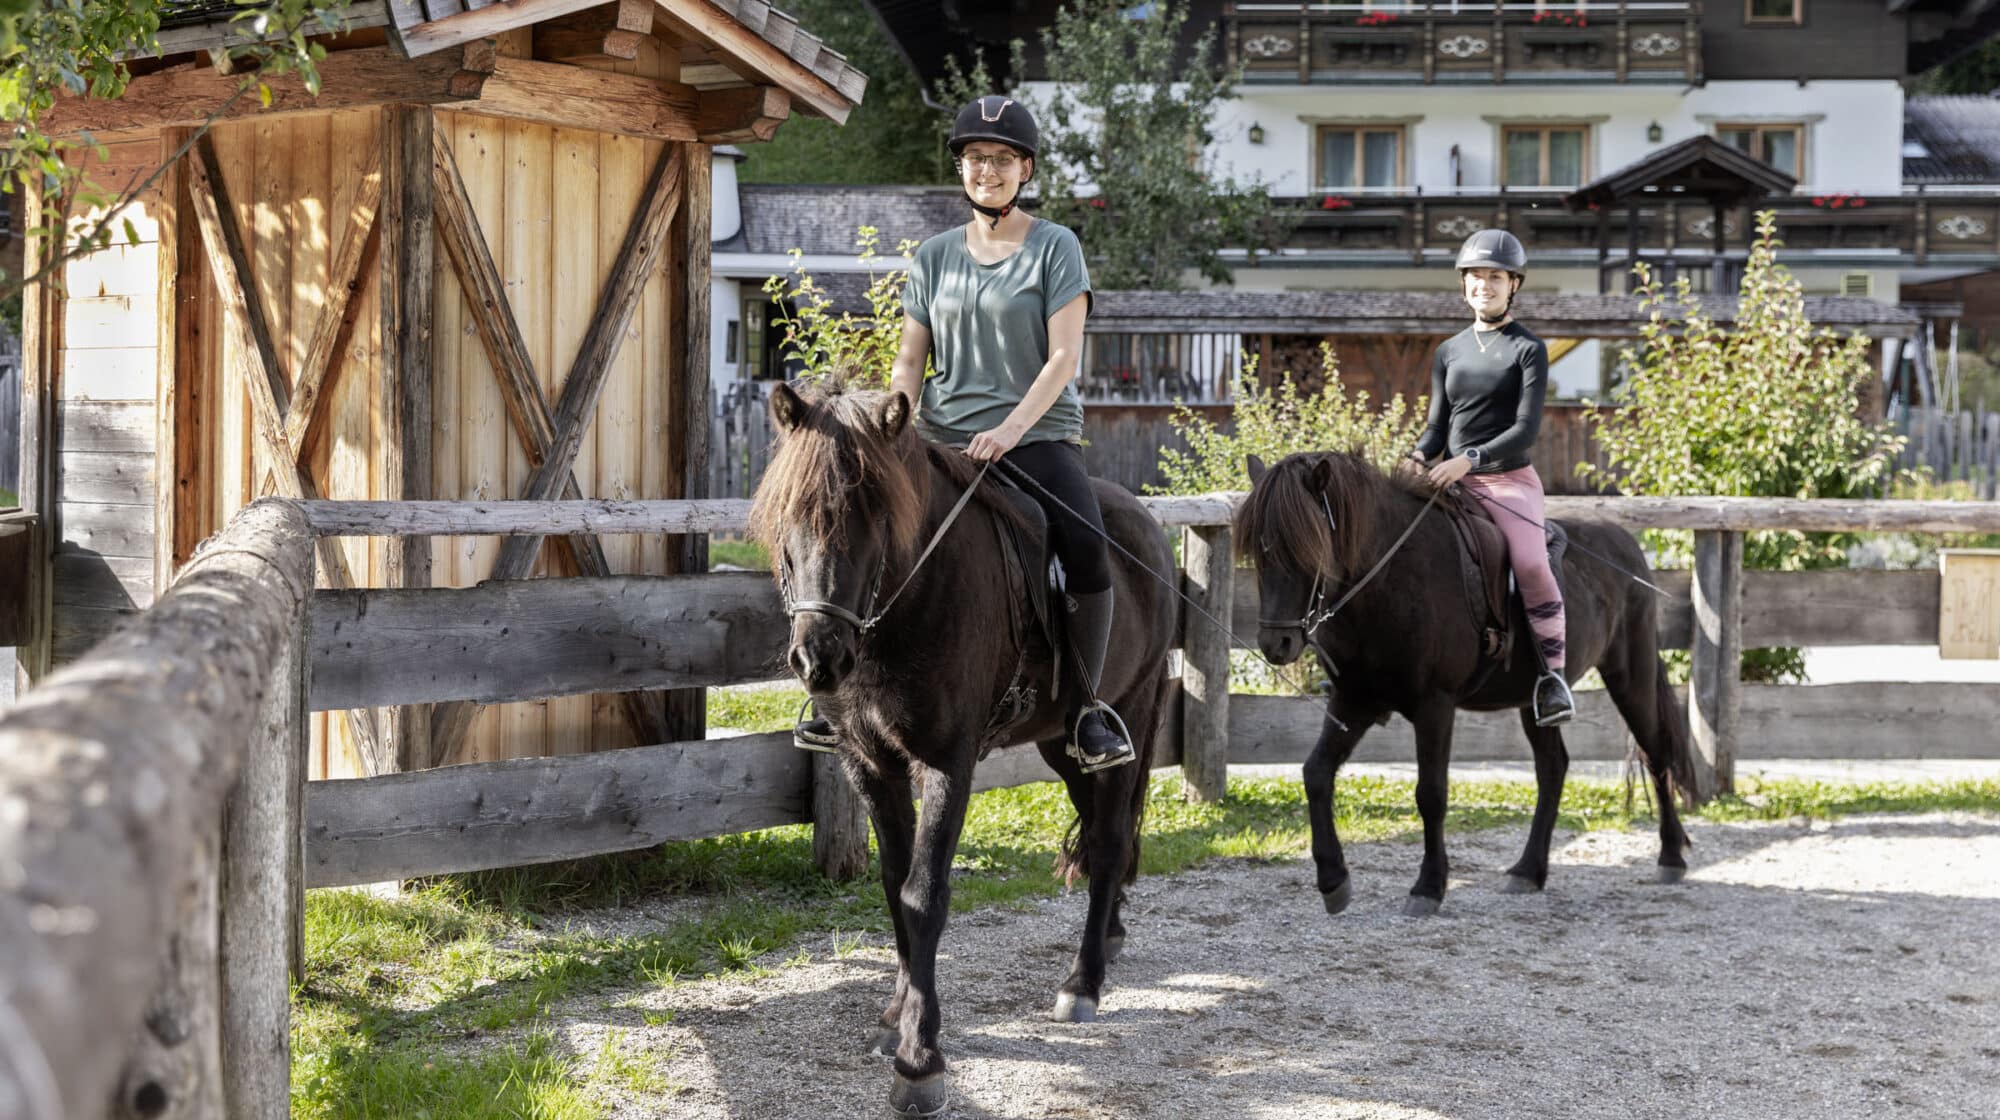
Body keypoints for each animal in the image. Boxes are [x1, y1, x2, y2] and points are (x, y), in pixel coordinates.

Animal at [756, 380, 1176, 1112]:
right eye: (790, 516)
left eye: (876, 514)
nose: (819, 660)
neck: (909, 601)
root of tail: (1145, 522)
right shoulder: (871, 764)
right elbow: (895, 885)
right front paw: (897, 1017)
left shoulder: (946, 762)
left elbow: (925, 894)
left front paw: (920, 1061)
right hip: (1062, 745)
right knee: (1100, 827)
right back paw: (1110, 938)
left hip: (1132, 705)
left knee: (1110, 841)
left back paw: (1084, 982)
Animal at [1232, 450, 1688, 916]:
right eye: (1259, 552)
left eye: (1308, 547)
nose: (1276, 644)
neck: (1392, 579)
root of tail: (1627, 544)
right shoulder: (1354, 700)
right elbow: (1315, 773)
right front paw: (1333, 880)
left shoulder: (1435, 705)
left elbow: (1431, 793)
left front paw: (1428, 887)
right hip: (1532, 701)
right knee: (1553, 768)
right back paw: (1528, 870)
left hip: (1630, 677)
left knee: (1656, 751)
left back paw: (1671, 858)